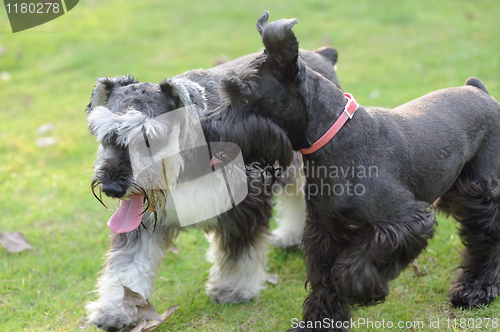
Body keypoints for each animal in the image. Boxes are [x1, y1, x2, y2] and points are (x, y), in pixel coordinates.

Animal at [87, 11, 344, 330]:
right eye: (105, 134)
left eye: (149, 139)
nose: (112, 187)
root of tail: (321, 55)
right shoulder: (141, 218)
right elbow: (128, 264)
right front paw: (117, 308)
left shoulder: (244, 206)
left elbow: (239, 252)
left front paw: (234, 289)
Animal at [201, 16, 500, 332]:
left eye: (243, 96)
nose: (205, 127)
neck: (338, 139)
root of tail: (478, 90)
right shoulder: (325, 230)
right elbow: (323, 282)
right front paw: (320, 322)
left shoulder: (405, 221)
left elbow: (352, 267)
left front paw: (358, 287)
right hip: (455, 192)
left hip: (480, 194)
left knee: (487, 240)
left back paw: (475, 290)